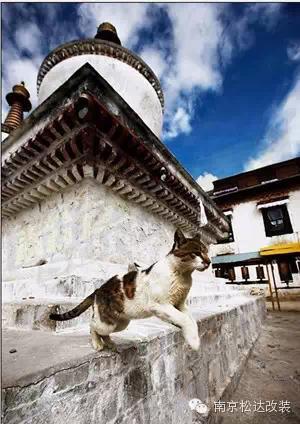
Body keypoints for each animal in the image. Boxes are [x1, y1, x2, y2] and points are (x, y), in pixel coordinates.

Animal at [49, 230, 211, 352]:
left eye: (206, 252)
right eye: (196, 253)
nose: (209, 262)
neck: (182, 275)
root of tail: (98, 289)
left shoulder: (180, 305)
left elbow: (191, 320)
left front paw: (193, 335)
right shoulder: (161, 305)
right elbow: (185, 319)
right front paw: (194, 342)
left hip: (120, 323)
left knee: (104, 333)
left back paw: (111, 344)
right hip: (106, 323)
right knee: (92, 326)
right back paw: (97, 343)